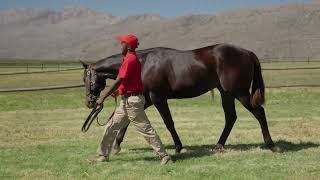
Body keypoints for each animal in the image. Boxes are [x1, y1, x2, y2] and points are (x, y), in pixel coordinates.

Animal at [81, 43, 278, 153]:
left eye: (86, 79)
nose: (90, 102)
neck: (143, 64)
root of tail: (247, 52)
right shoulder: (146, 98)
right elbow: (127, 120)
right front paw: (117, 145)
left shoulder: (158, 98)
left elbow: (169, 122)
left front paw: (178, 147)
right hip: (226, 93)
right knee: (231, 117)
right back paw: (219, 145)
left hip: (239, 92)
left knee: (259, 112)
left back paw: (271, 145)